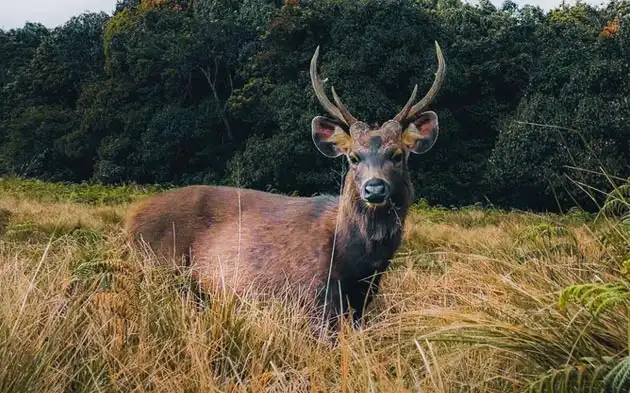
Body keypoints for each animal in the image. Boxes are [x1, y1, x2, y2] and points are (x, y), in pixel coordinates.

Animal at [126, 40, 446, 328]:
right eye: (353, 157)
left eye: (398, 155)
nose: (374, 188)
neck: (357, 262)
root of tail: (131, 219)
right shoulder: (310, 295)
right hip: (161, 263)